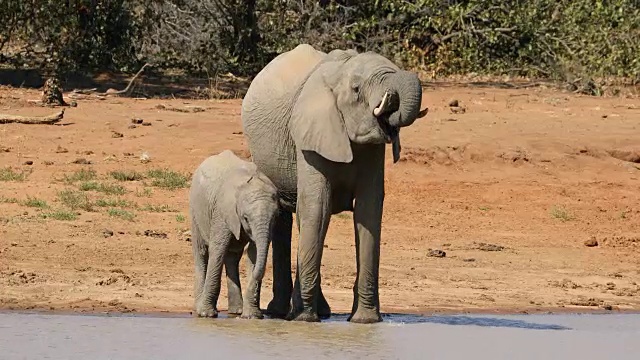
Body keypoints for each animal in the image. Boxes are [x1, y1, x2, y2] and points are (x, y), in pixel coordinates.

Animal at [189, 150, 282, 320]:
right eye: (245, 218)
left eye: (275, 217)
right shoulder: (222, 211)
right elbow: (218, 249)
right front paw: (206, 314)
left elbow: (254, 252)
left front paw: (252, 316)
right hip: (195, 209)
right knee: (202, 252)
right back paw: (199, 308)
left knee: (232, 256)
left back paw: (237, 311)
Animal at [242, 43, 428, 322]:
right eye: (356, 89)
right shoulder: (310, 136)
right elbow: (318, 209)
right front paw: (304, 320)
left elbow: (368, 211)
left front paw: (365, 321)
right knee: (287, 217)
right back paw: (283, 312)